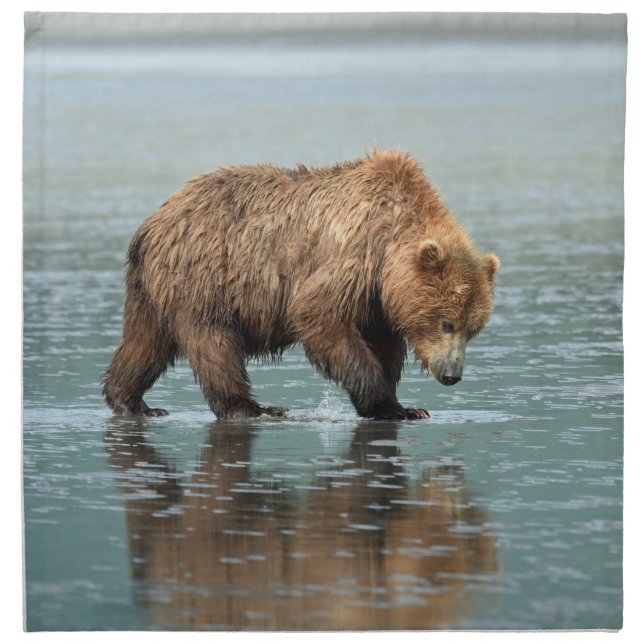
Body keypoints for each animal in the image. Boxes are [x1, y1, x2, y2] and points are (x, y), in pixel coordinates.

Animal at [103, 151, 499, 420]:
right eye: (447, 323)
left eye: (473, 329)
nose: (452, 375)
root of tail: (153, 222)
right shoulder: (353, 258)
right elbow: (318, 315)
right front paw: (385, 402)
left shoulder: (378, 301)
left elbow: (384, 344)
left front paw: (404, 406)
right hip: (205, 276)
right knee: (214, 343)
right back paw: (253, 407)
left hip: (153, 288)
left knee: (145, 342)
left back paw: (132, 401)